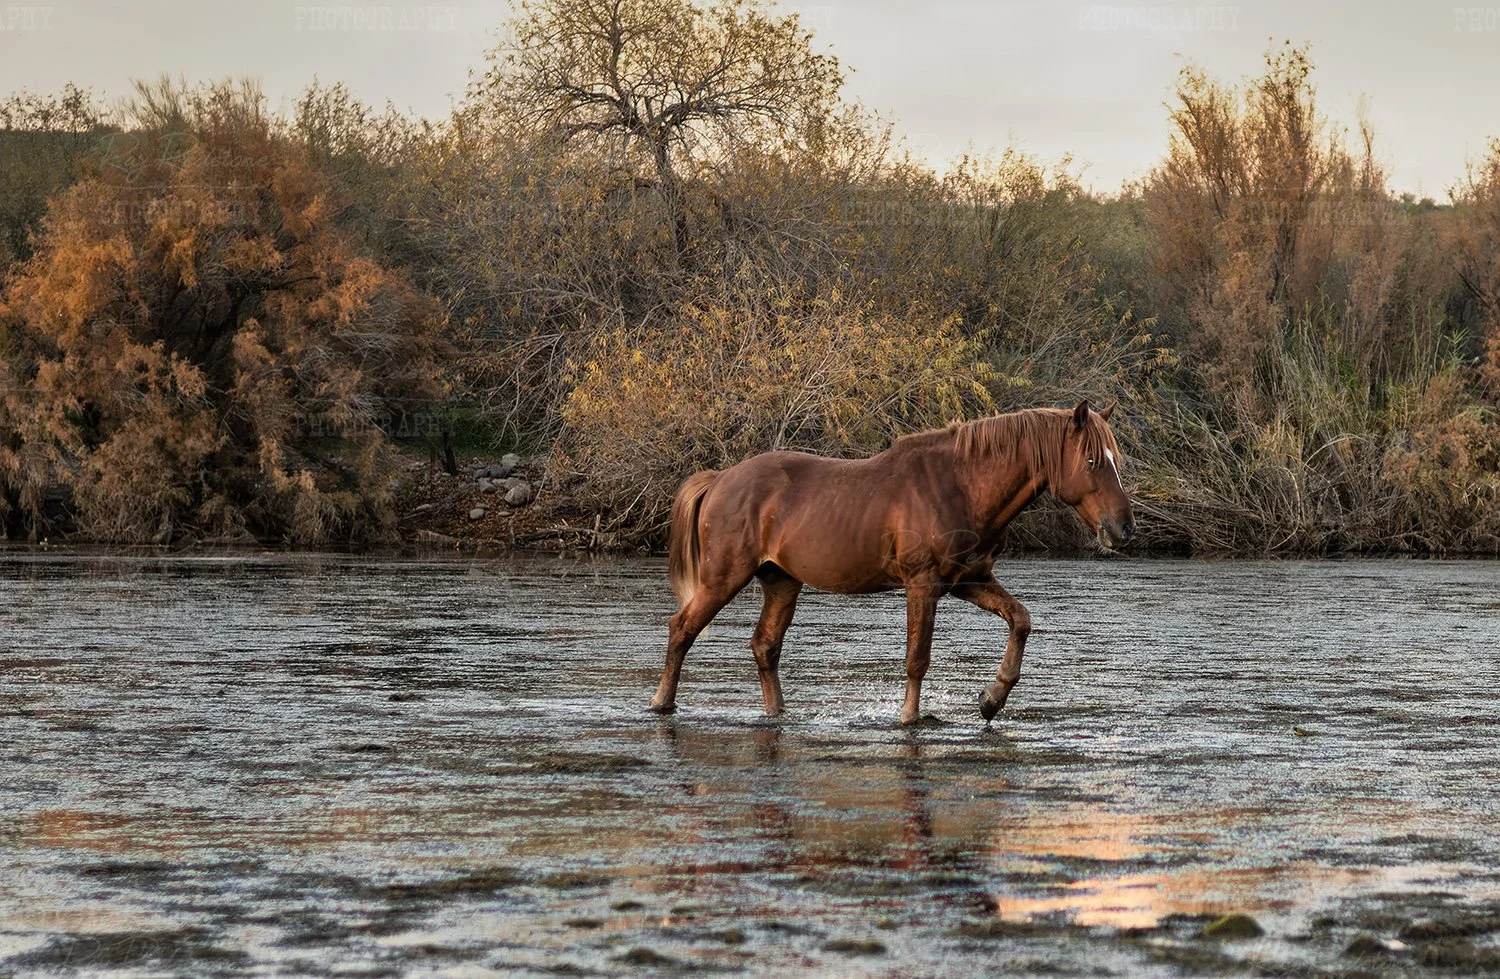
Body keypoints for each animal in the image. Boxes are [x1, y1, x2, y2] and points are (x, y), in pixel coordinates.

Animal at [647, 400, 1134, 725]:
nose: (1123, 528)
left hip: (781, 581)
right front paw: (909, 718)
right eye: (1093, 460)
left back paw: (777, 713)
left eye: (1116, 460)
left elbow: (1021, 620)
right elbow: (917, 658)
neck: (961, 485)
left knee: (764, 646)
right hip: (723, 577)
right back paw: (661, 703)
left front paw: (991, 698)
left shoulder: (968, 581)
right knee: (682, 628)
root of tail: (720, 479)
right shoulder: (923, 584)